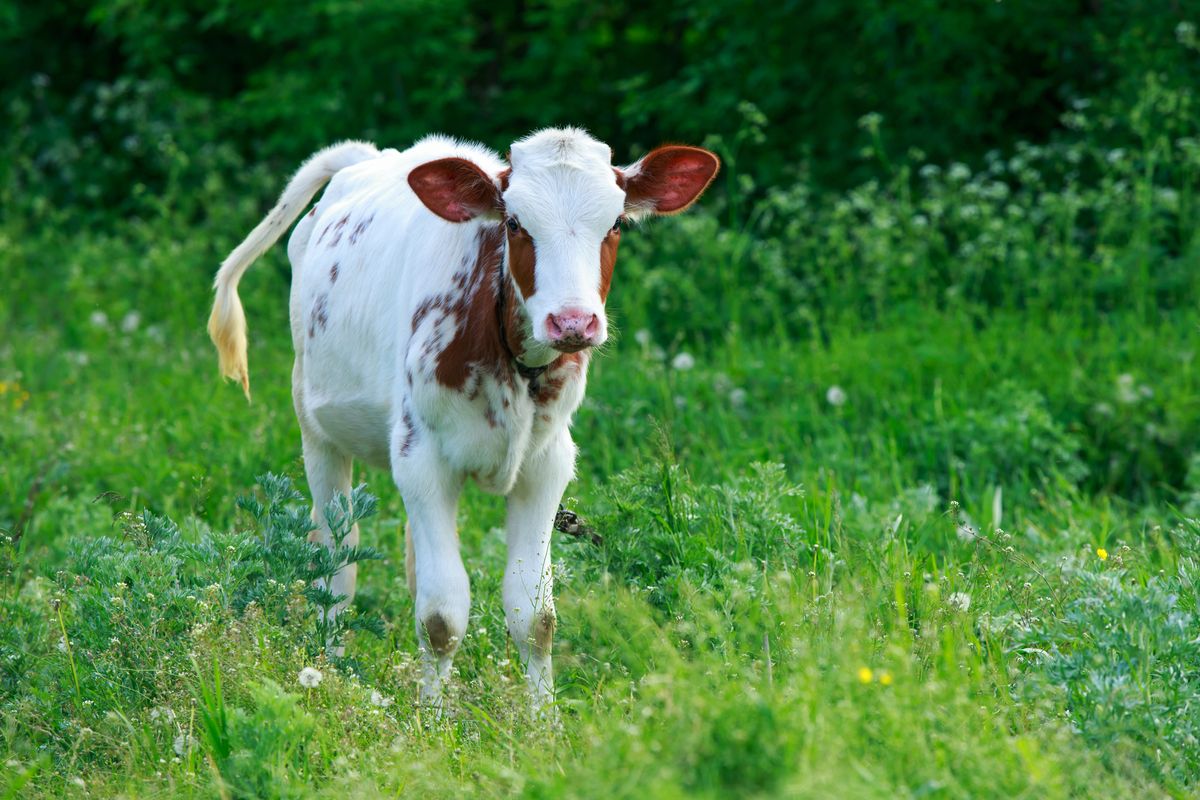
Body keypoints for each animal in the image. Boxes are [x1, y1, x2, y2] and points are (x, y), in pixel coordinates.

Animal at [207, 128, 715, 710]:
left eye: (615, 224)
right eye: (514, 224)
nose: (572, 322)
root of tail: (369, 156)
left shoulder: (547, 465)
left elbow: (534, 614)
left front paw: (543, 721)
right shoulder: (422, 460)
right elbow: (442, 616)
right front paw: (432, 720)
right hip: (317, 427)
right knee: (336, 561)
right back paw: (328, 670)